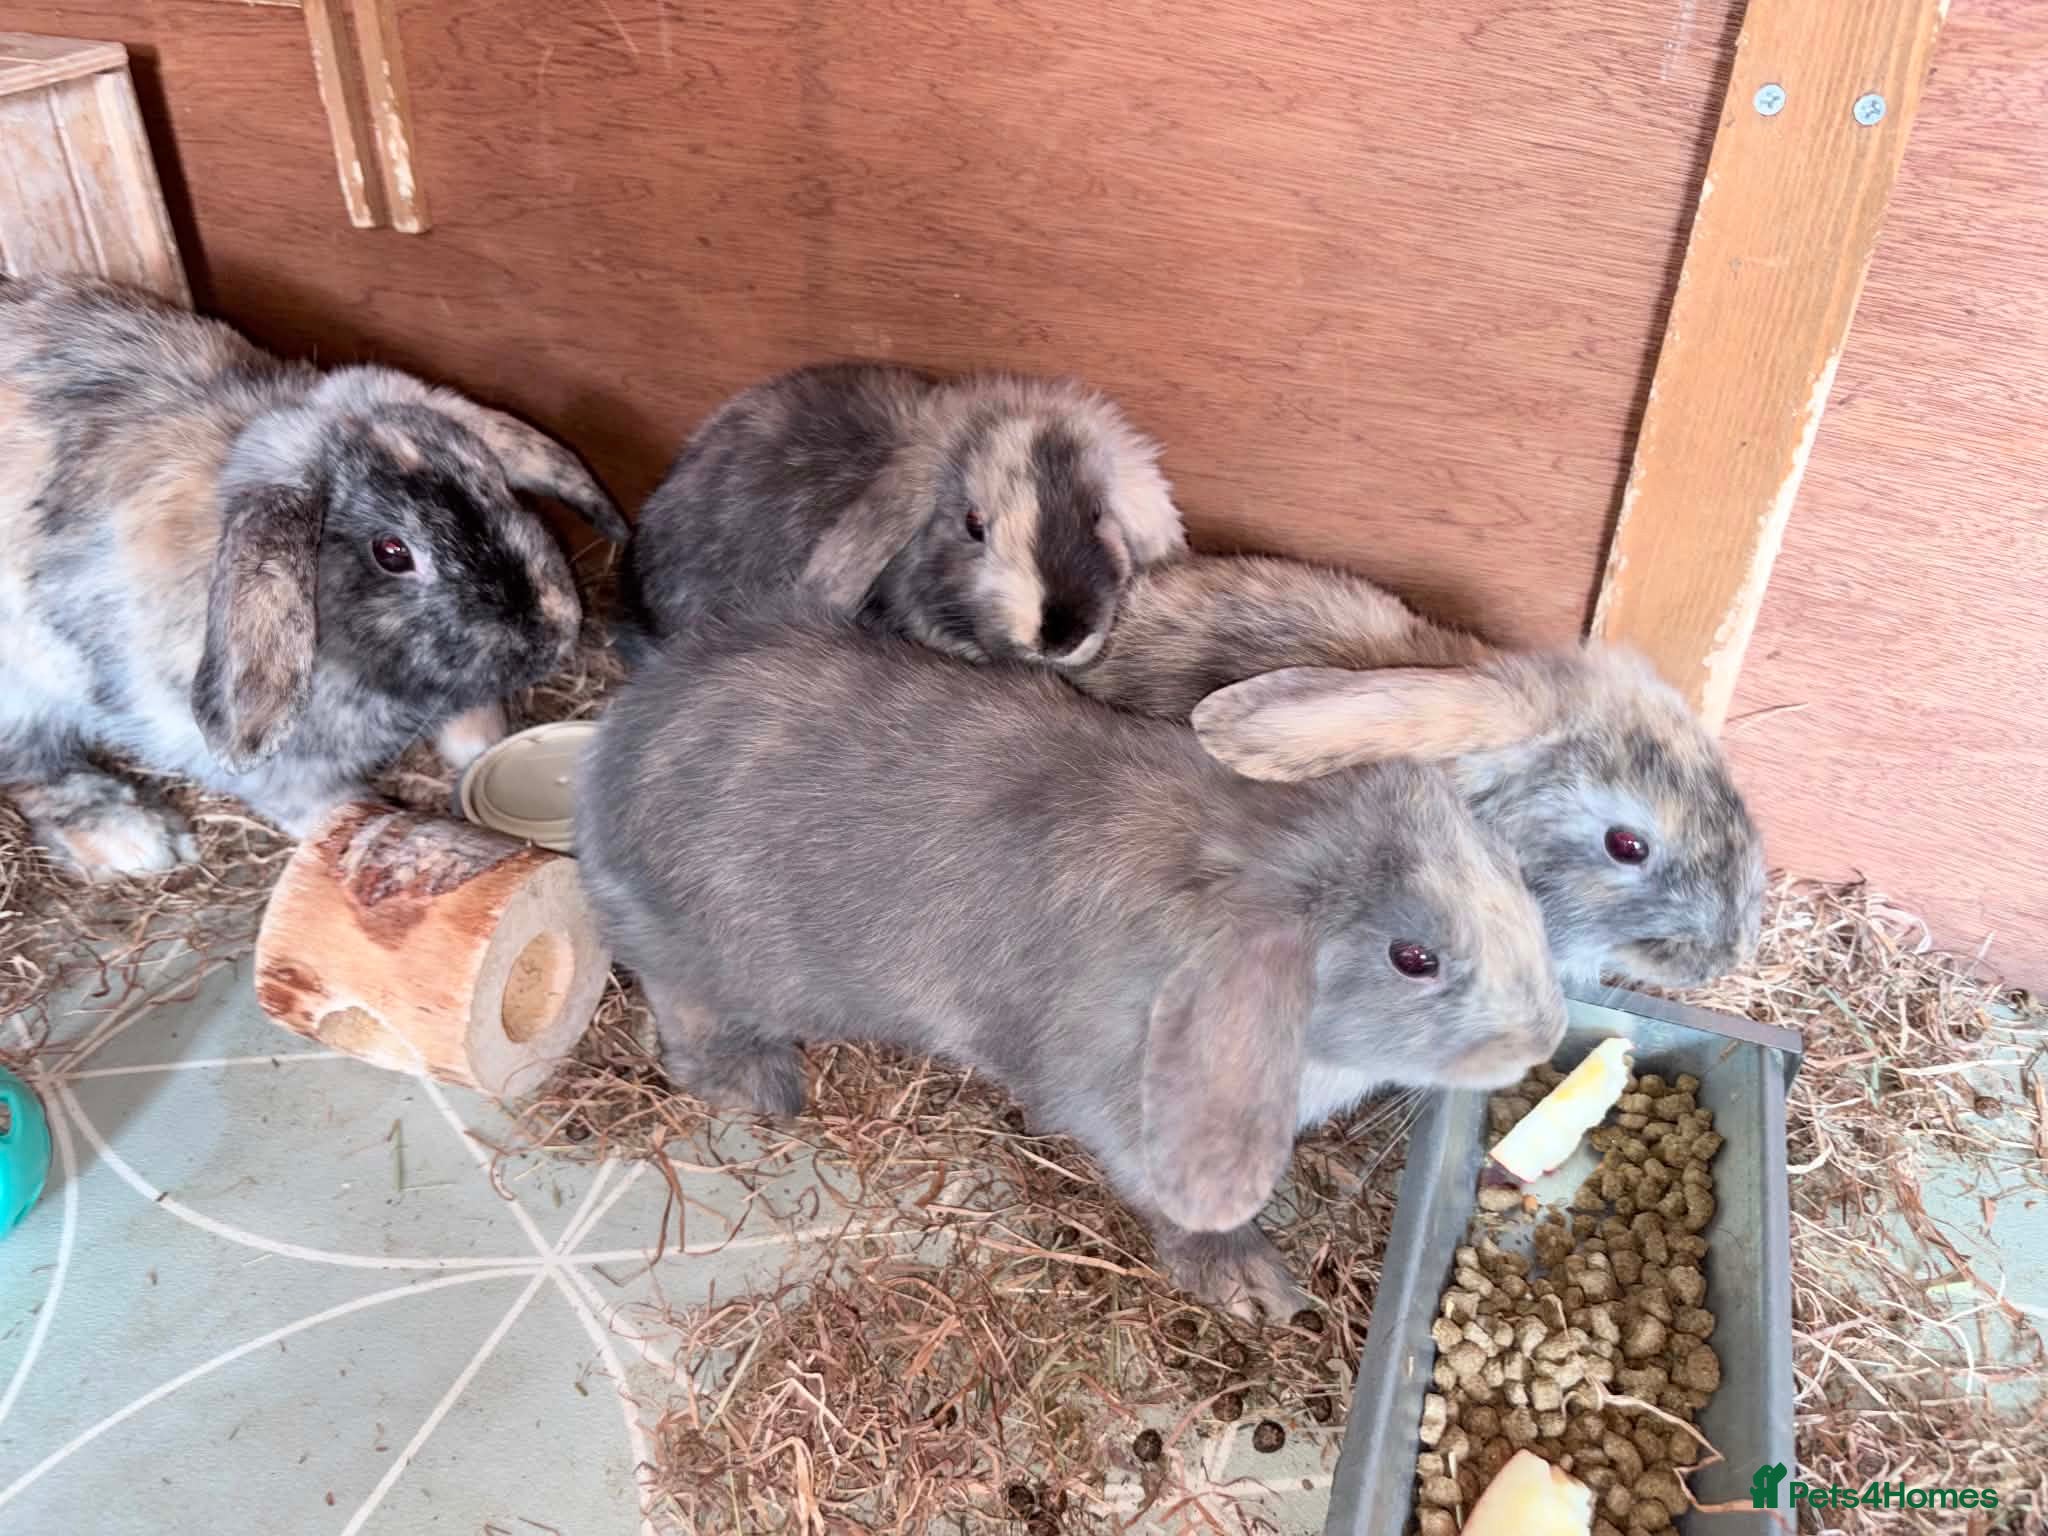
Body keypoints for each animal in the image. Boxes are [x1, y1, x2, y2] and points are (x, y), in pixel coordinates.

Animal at [0, 275, 627, 878]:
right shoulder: (267, 768)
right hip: (25, 693)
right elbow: (327, 811)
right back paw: (130, 839)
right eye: (392, 552)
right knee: (34, 769)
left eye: (496, 487)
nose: (554, 634)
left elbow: (476, 735)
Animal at [577, 601, 1567, 1318]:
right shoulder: (1120, 1104)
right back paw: (760, 1082)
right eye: (1413, 956)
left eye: (1508, 871)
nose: (1541, 1036)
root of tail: (612, 758)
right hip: (711, 955)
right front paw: (1252, 1286)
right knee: (681, 1007)